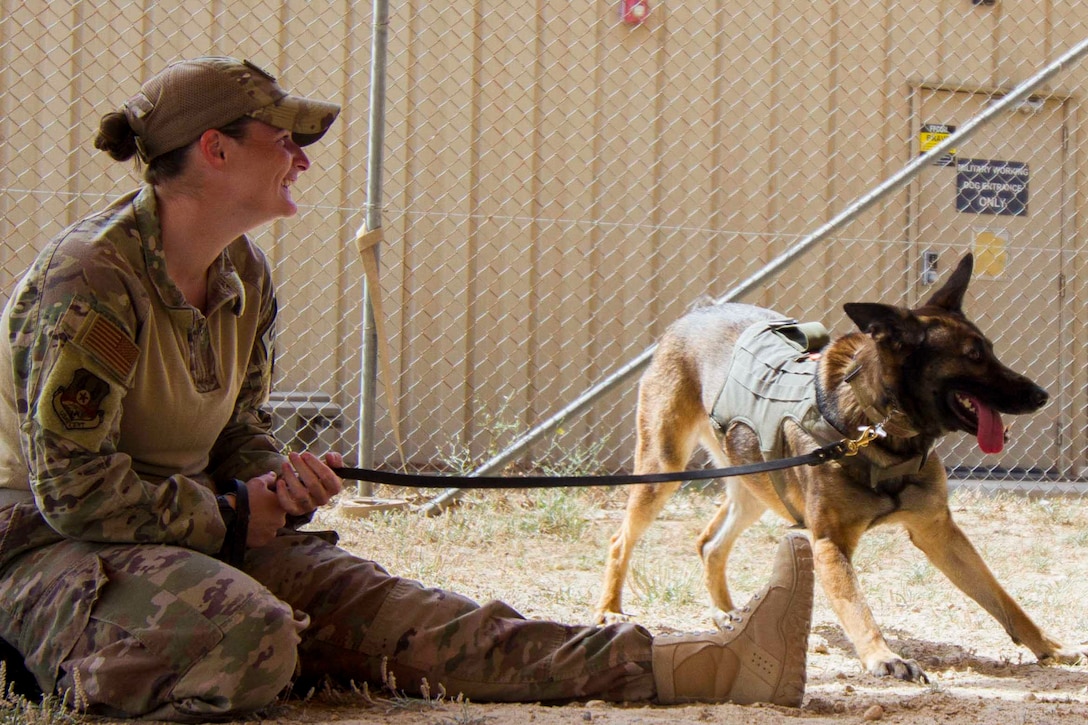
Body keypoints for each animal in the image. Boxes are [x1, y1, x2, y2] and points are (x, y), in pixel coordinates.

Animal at [596, 252, 1088, 679]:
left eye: (990, 350)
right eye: (973, 356)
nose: (1041, 396)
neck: (881, 430)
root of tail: (698, 312)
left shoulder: (941, 533)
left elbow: (1003, 598)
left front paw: (1049, 647)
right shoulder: (829, 542)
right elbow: (856, 605)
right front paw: (883, 656)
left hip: (756, 483)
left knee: (709, 544)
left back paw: (727, 614)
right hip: (663, 466)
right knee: (621, 539)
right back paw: (609, 610)